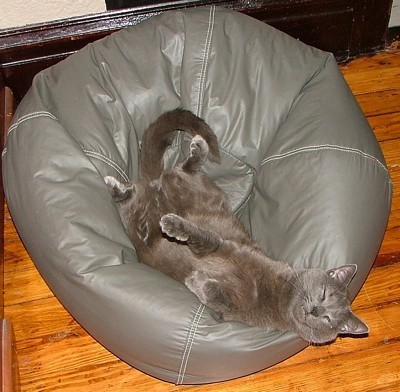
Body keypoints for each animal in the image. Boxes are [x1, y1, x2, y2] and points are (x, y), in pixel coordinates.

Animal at [104, 107, 368, 344]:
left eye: (328, 320)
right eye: (323, 295)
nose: (315, 311)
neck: (277, 295)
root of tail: (154, 187)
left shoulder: (234, 312)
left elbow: (218, 296)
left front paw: (197, 280)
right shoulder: (228, 247)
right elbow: (204, 238)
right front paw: (173, 224)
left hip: (141, 220)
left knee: (133, 198)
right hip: (196, 188)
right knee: (180, 171)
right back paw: (194, 151)